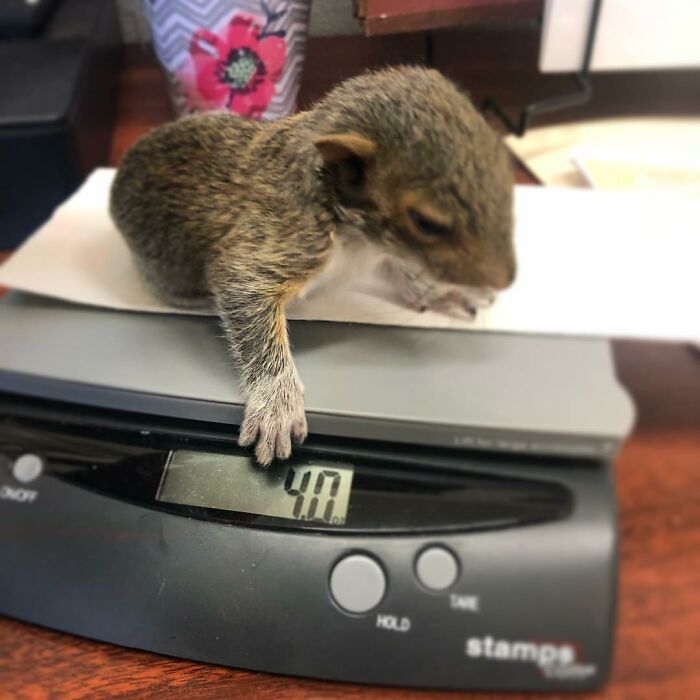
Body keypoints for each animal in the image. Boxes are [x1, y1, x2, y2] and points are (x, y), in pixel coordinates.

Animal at [109, 66, 516, 466]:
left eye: (507, 173)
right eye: (425, 223)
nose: (508, 278)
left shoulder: (379, 253)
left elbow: (403, 271)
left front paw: (440, 293)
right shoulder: (283, 241)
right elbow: (246, 297)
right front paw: (276, 405)